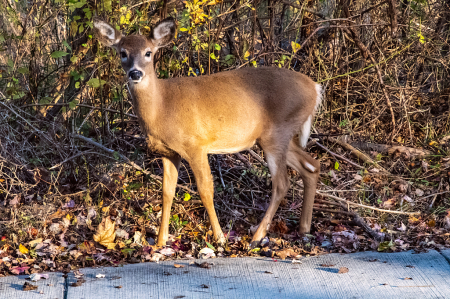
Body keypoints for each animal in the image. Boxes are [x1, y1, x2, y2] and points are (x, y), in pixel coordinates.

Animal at [93, 17, 322, 248]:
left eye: (148, 52)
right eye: (123, 52)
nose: (135, 73)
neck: (162, 107)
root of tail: (316, 88)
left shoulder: (196, 144)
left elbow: (205, 190)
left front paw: (219, 238)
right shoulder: (169, 152)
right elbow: (167, 192)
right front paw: (160, 241)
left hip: (277, 133)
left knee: (282, 183)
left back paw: (257, 236)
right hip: (276, 136)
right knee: (311, 165)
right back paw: (304, 228)